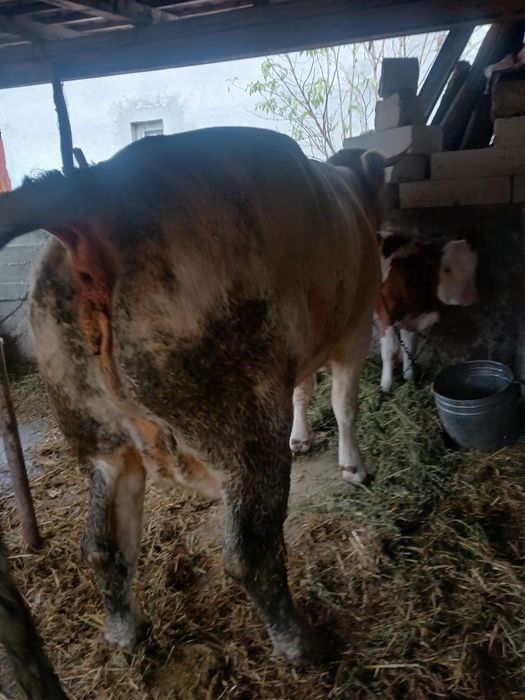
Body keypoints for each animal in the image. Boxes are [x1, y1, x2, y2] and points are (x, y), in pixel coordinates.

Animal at [0, 127, 387, 665]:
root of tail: (98, 190)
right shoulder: (354, 325)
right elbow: (344, 404)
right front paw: (354, 466)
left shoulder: (301, 352)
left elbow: (303, 392)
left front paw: (303, 437)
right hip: (240, 421)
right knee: (250, 553)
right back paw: (301, 643)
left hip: (98, 434)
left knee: (102, 543)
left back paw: (125, 631)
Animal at [375, 232, 478, 393]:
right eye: (447, 269)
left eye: (474, 265)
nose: (471, 295)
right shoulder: (386, 316)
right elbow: (390, 352)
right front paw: (385, 387)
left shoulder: (411, 319)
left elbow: (409, 349)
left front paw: (410, 379)